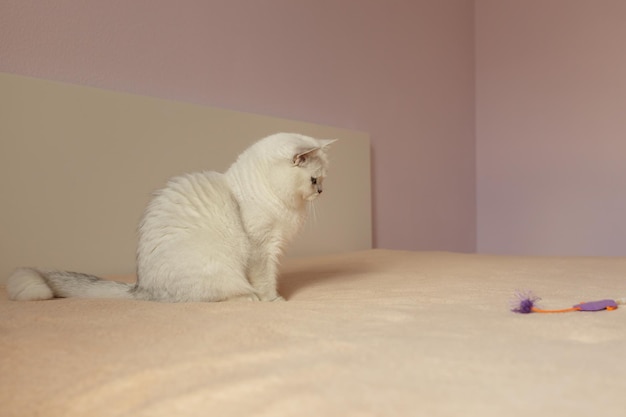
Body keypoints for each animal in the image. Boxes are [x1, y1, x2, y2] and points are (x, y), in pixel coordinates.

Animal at [6, 133, 336, 302]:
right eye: (314, 180)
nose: (322, 192)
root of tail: (140, 288)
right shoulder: (262, 249)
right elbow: (265, 282)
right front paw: (275, 302)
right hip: (218, 269)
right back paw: (249, 299)